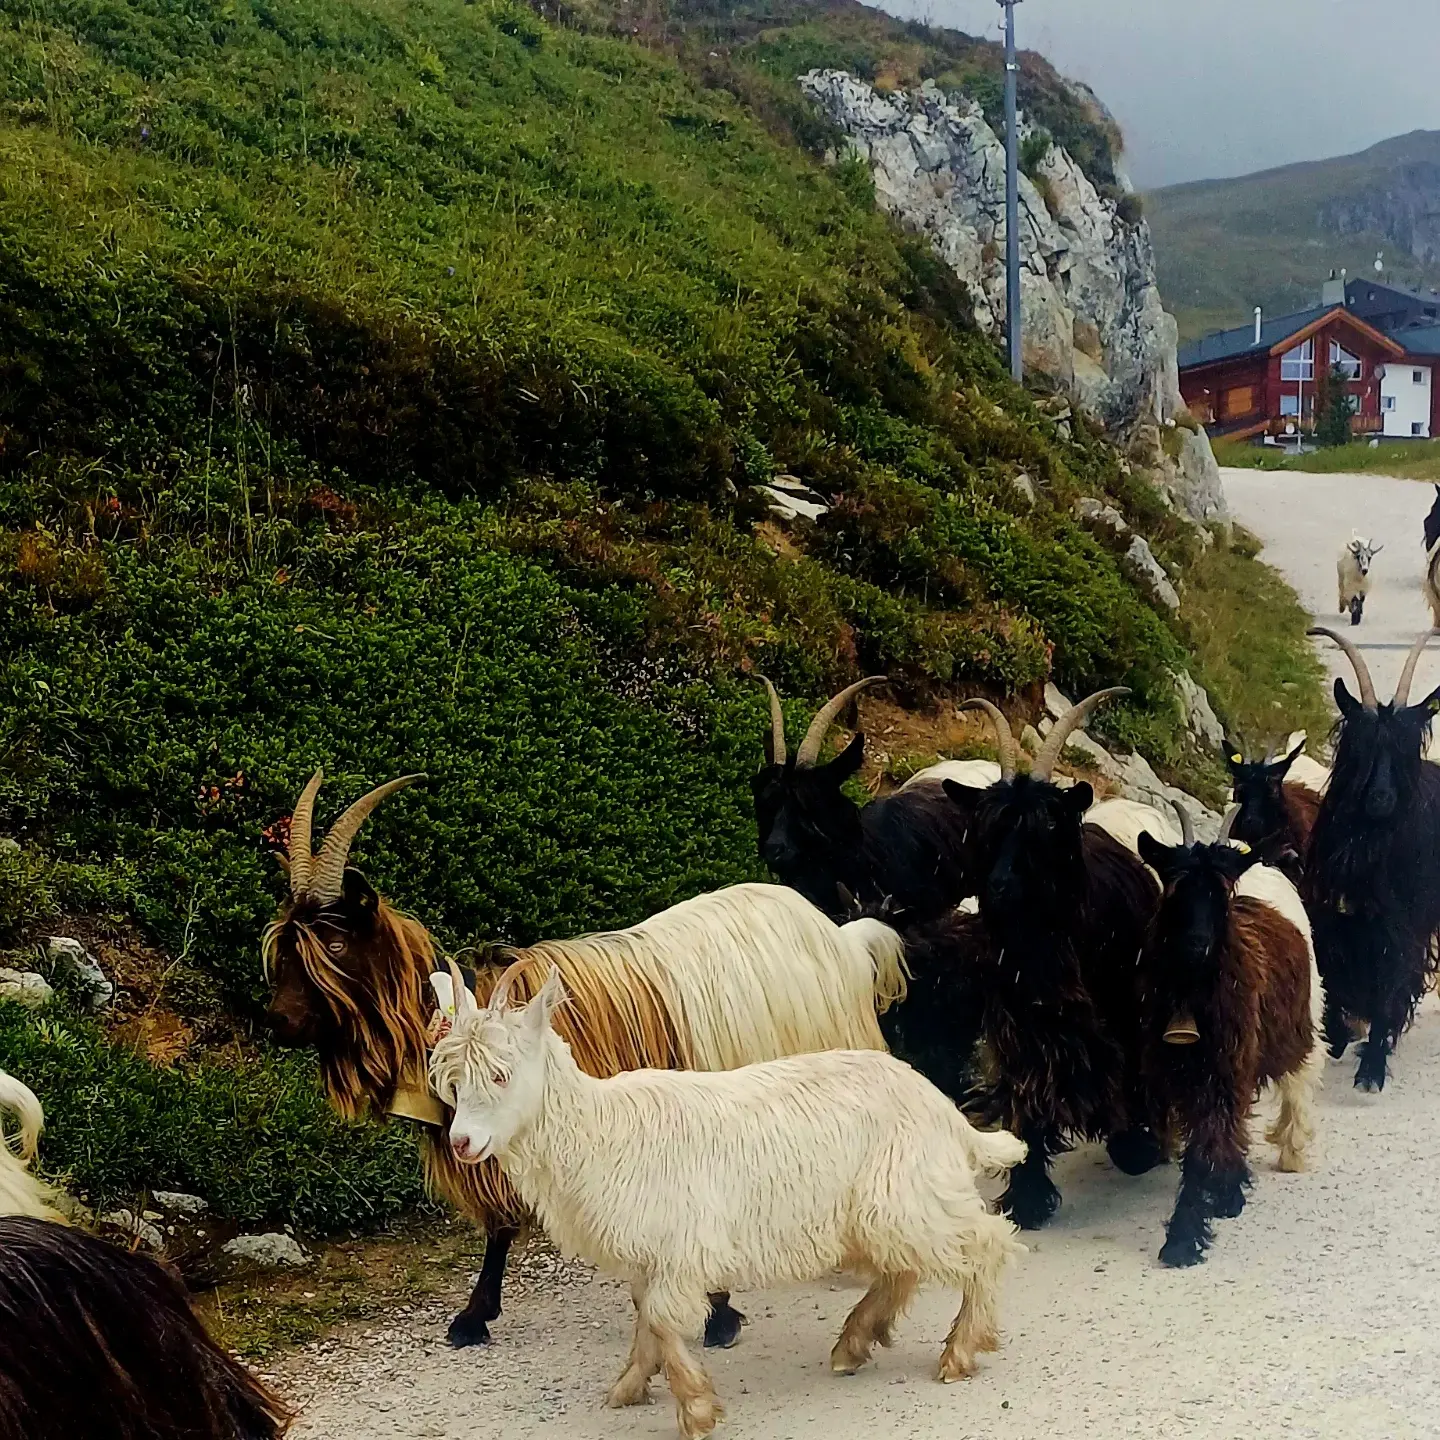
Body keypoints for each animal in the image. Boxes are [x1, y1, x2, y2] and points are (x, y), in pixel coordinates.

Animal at [263, 772, 907, 1349]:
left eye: (335, 944)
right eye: (284, 951)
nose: (278, 1022)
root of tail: (842, 937)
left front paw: (717, 1314)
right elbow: (500, 1223)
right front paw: (475, 1315)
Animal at [429, 963, 1025, 1440]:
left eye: (501, 1074)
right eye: (452, 1081)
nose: (462, 1143)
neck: (602, 1131)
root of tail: (941, 1106)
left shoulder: (680, 1248)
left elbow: (664, 1320)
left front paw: (695, 1409)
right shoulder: (649, 1254)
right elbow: (646, 1319)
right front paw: (630, 1385)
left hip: (906, 1195)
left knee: (987, 1244)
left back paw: (959, 1351)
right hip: (880, 1208)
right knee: (904, 1268)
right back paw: (854, 1343)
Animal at [940, 692, 1165, 1230]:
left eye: (1042, 832)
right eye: (988, 832)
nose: (998, 887)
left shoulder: (1121, 1020)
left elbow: (1127, 1080)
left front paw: (1138, 1146)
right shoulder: (1024, 1036)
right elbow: (1028, 1100)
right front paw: (1026, 1195)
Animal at [1136, 805, 1322, 1268]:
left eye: (1219, 894)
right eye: (1176, 889)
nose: (1198, 943)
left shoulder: (1223, 1071)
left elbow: (1206, 1146)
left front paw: (1183, 1237)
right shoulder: (1179, 1073)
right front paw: (1220, 1195)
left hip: (1302, 1024)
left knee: (1298, 1085)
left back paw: (1291, 1152)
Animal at [1304, 627, 1440, 1090]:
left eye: (1403, 750)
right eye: (1360, 747)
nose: (1381, 798)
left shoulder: (1401, 928)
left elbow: (1391, 986)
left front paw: (1372, 1068)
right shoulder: (1331, 919)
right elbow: (1332, 977)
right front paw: (1338, 1035)